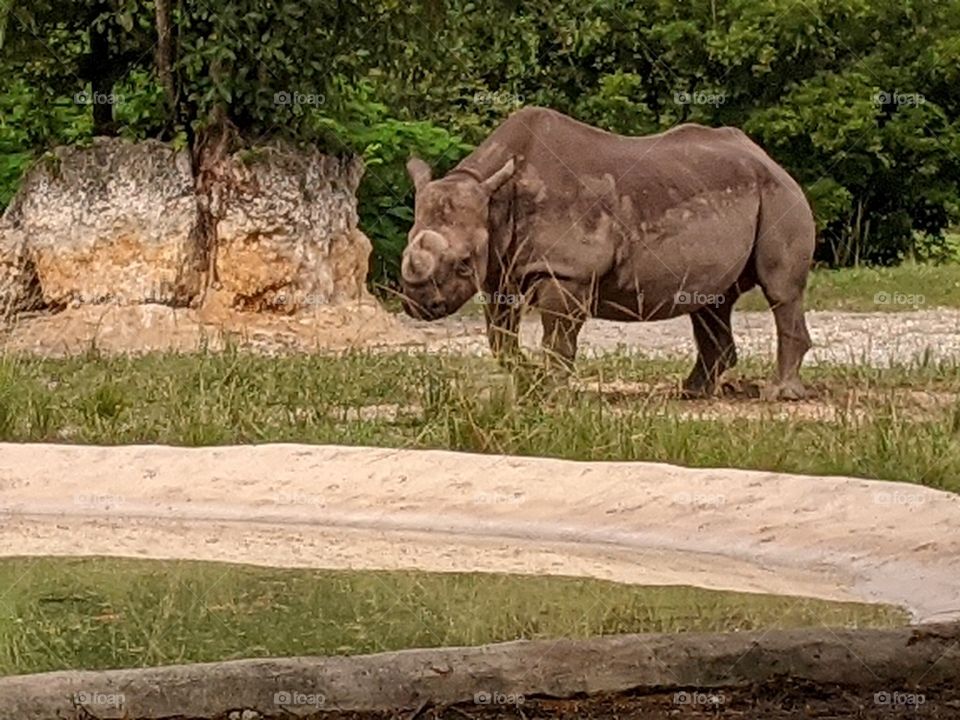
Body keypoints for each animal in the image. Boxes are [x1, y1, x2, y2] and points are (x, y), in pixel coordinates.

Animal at [400, 107, 815, 400]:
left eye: (463, 263)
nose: (417, 304)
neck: (495, 203)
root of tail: (769, 158)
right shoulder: (500, 270)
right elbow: (499, 337)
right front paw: (529, 383)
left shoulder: (567, 269)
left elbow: (557, 338)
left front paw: (551, 394)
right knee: (711, 302)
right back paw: (691, 392)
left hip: (780, 195)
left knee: (780, 291)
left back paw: (779, 395)